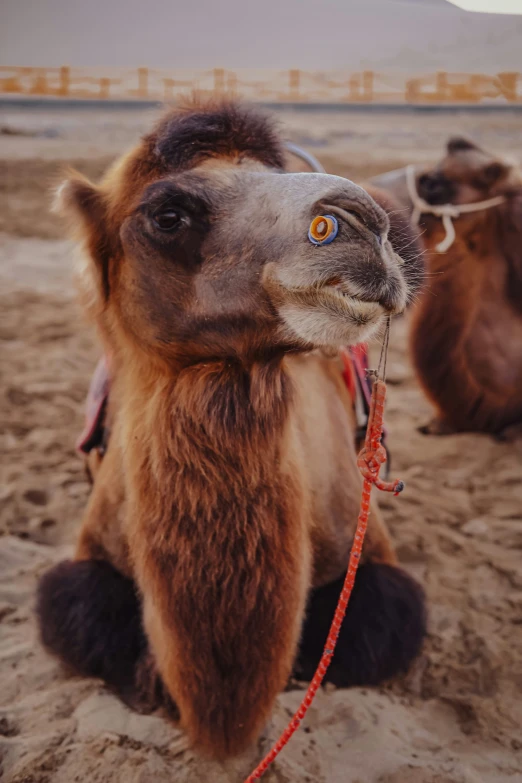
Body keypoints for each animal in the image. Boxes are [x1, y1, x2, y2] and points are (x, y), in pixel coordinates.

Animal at [38, 101, 424, 764]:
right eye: (168, 214)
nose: (359, 222)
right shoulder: (85, 560)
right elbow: (80, 612)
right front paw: (153, 682)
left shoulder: (372, 557)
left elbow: (373, 626)